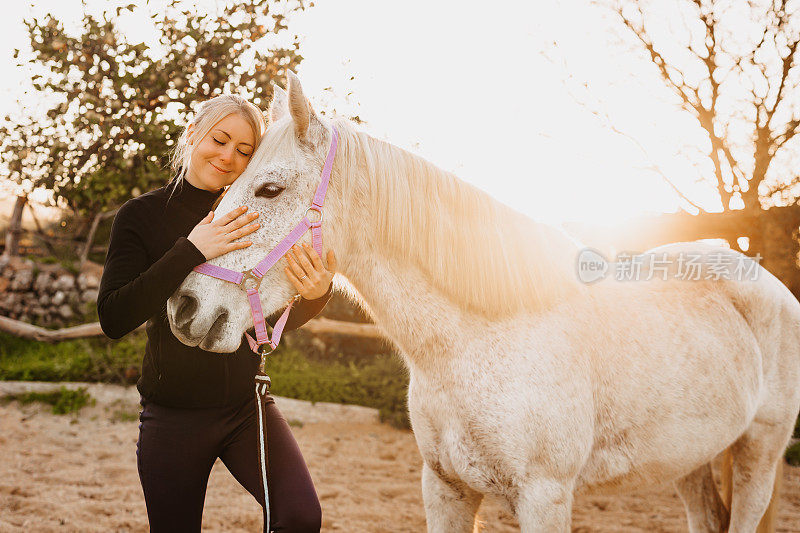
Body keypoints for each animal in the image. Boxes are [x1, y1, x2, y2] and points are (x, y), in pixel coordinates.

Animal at [166, 71, 796, 532]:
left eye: (269, 188)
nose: (184, 308)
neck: (479, 340)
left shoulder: (545, 498)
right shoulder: (445, 488)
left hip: (759, 453)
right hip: (692, 460)